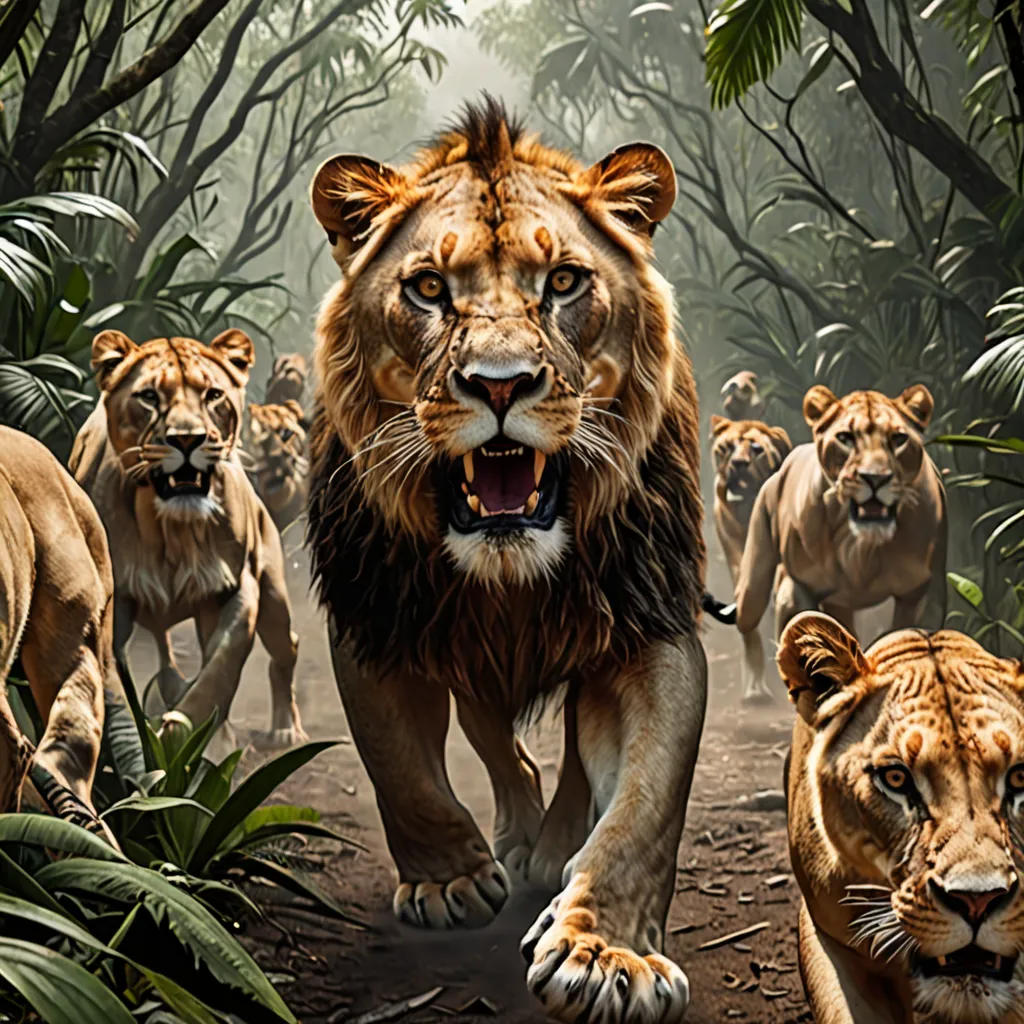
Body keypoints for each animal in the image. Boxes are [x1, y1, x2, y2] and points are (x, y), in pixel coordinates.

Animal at [306, 98, 705, 1022]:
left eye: (562, 283)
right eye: (427, 288)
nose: (498, 383)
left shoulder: (652, 627)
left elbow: (645, 805)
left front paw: (608, 954)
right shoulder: (371, 617)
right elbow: (398, 766)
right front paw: (449, 882)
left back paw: (552, 848)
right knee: (499, 746)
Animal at [736, 384, 947, 697]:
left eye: (898, 438)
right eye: (845, 438)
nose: (875, 479)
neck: (861, 548)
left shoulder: (921, 592)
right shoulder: (797, 589)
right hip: (752, 591)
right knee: (748, 620)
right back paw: (754, 689)